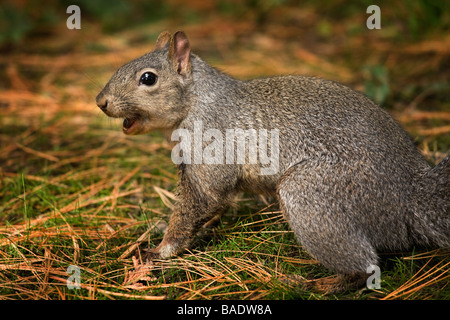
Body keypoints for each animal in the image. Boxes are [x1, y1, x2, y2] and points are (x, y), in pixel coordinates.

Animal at [96, 30, 450, 292]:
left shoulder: (210, 145)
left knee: (366, 267)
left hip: (310, 195)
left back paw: (317, 284)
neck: (199, 98)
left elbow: (202, 199)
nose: (101, 101)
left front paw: (160, 251)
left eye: (148, 78)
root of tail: (409, 196)